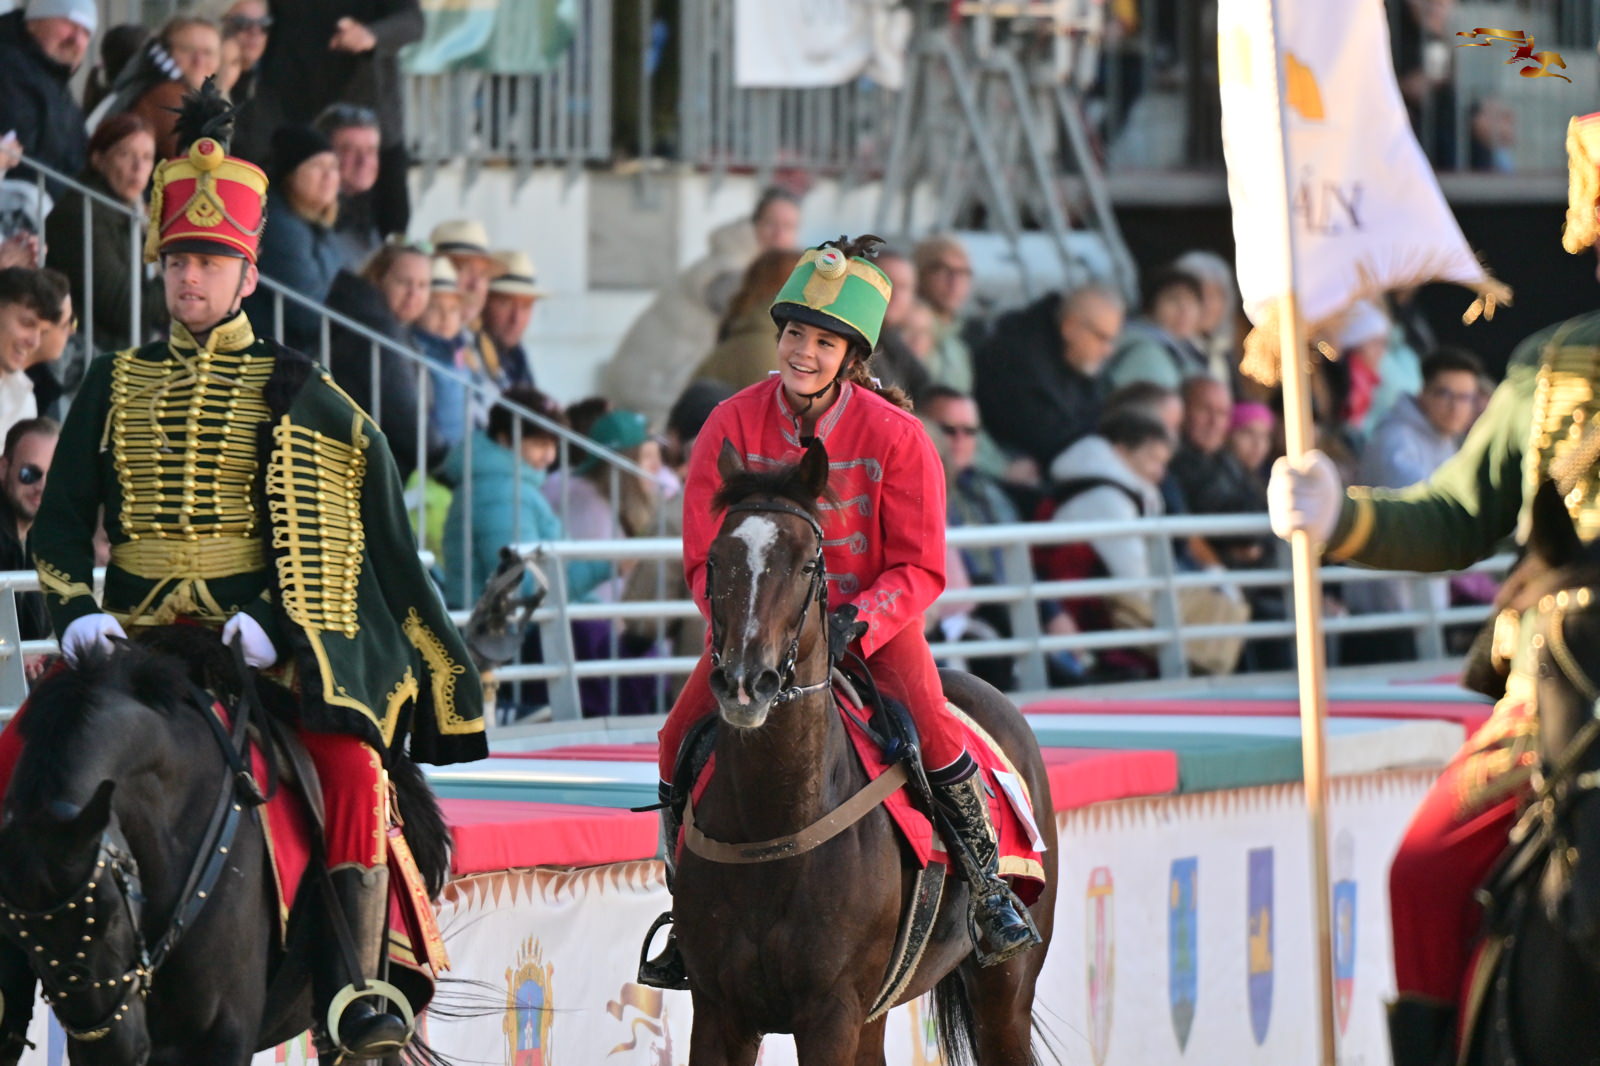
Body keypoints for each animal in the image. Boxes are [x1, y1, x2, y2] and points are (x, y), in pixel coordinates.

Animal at [670, 441, 1057, 1065]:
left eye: (808, 564)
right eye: (715, 560)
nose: (745, 683)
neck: (774, 823)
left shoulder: (830, 1012)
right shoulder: (718, 1012)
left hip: (1005, 992)